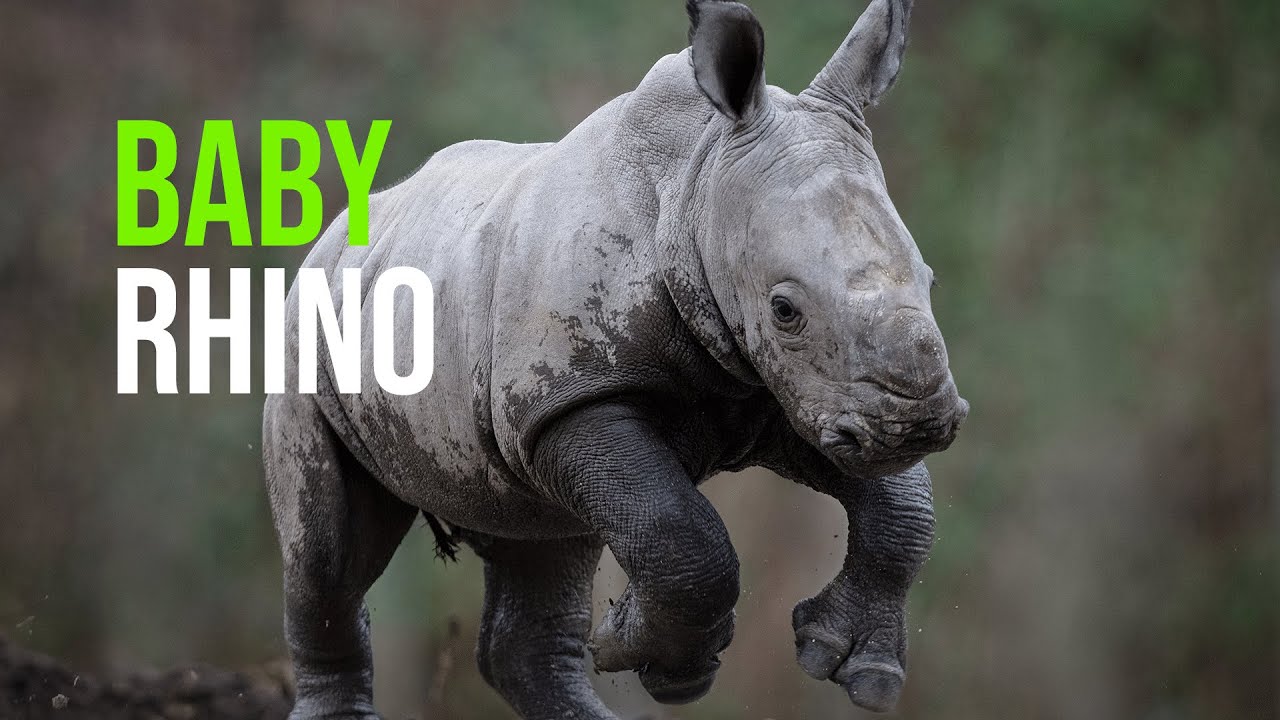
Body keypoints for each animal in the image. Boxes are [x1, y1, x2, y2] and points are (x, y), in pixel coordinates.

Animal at [262, 0, 968, 717]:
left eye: (931, 282)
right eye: (784, 310)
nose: (916, 426)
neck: (695, 187)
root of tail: (334, 235)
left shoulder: (790, 390)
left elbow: (905, 504)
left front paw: (852, 667)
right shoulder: (571, 396)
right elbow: (677, 530)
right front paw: (668, 666)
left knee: (542, 534)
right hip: (305, 337)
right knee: (329, 553)